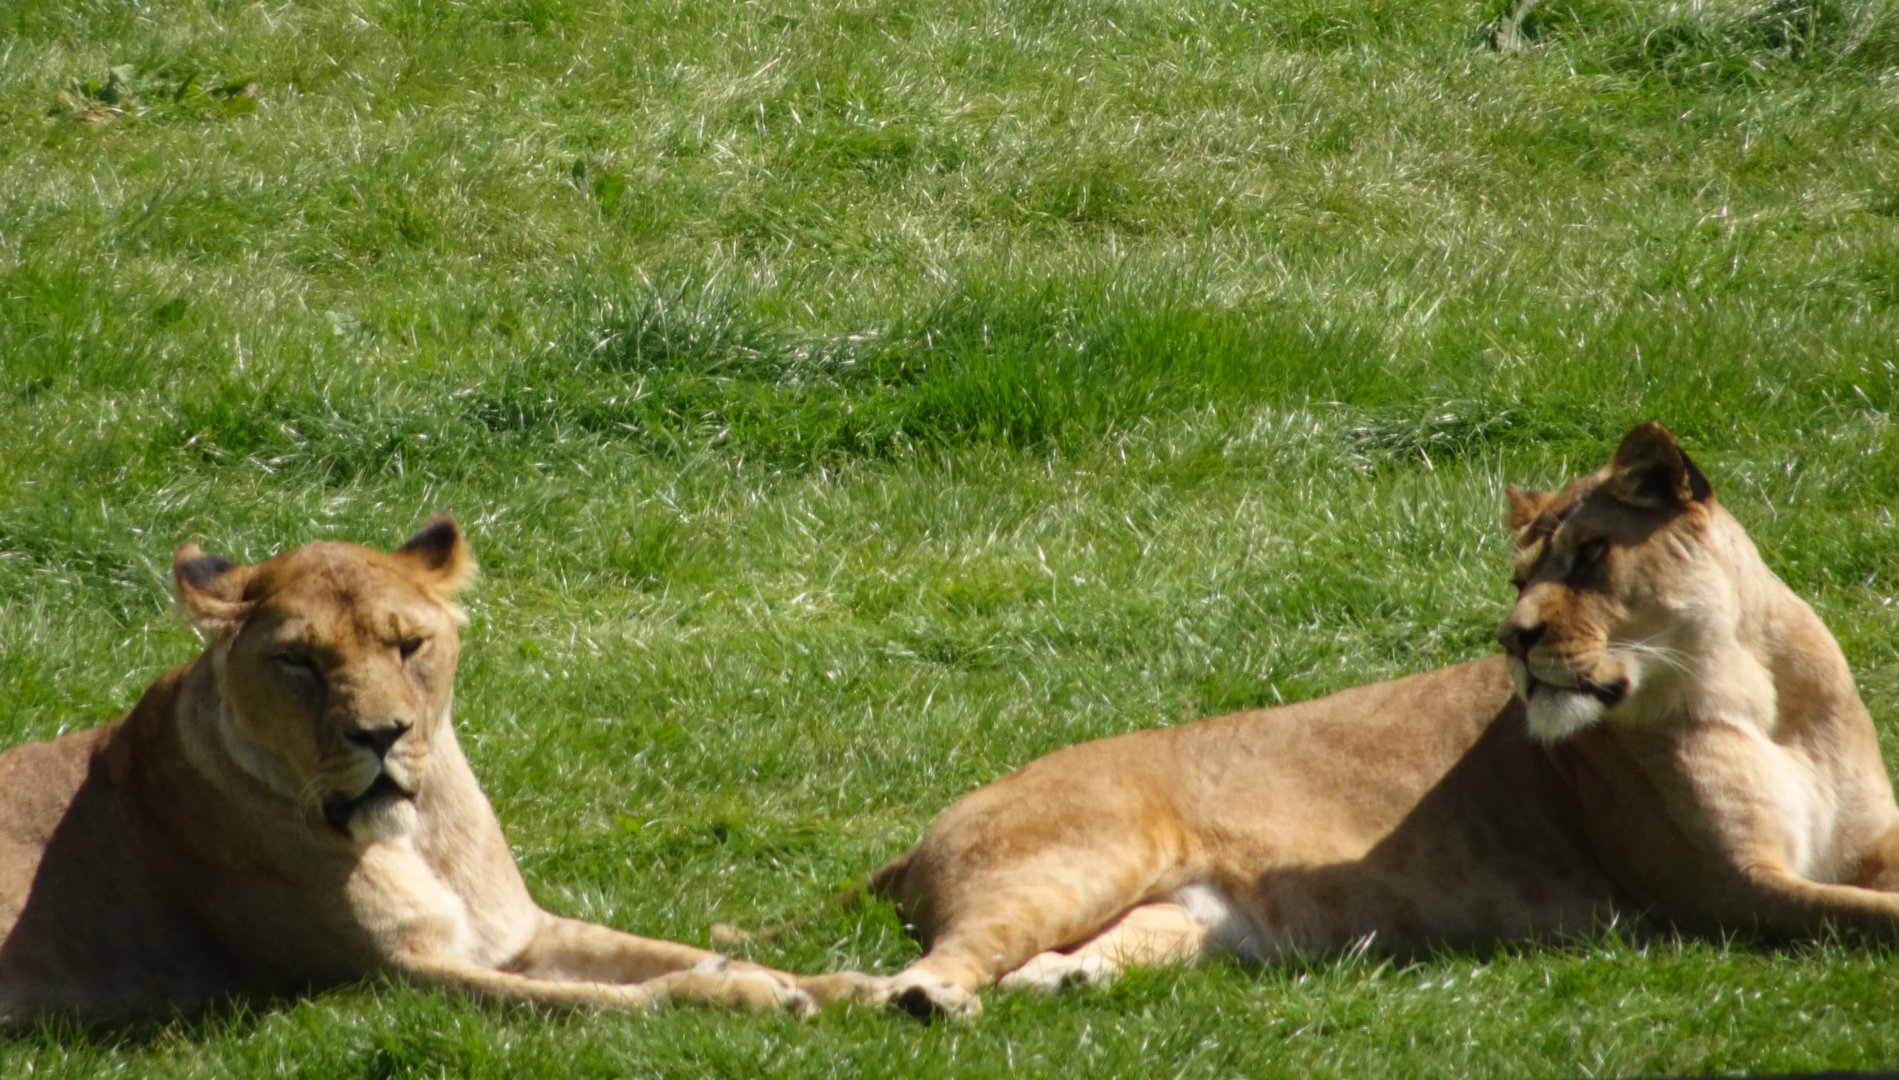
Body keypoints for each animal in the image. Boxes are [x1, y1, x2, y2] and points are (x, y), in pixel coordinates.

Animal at [0, 517, 867, 1024]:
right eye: (298, 663)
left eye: (409, 645)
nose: (381, 733)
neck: (418, 834)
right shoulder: (392, 977)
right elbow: (605, 1000)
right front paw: (744, 995)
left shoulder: (520, 932)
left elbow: (654, 954)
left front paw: (859, 987)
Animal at [860, 422, 1899, 1018]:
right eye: (1519, 579)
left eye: (1589, 555)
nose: (1512, 637)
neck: (1751, 687)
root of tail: (917, 838)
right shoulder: (1727, 894)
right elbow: (1870, 917)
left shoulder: (1851, 852)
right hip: (1078, 861)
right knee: (932, 963)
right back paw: (926, 1002)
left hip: (1183, 919)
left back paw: (1061, 980)